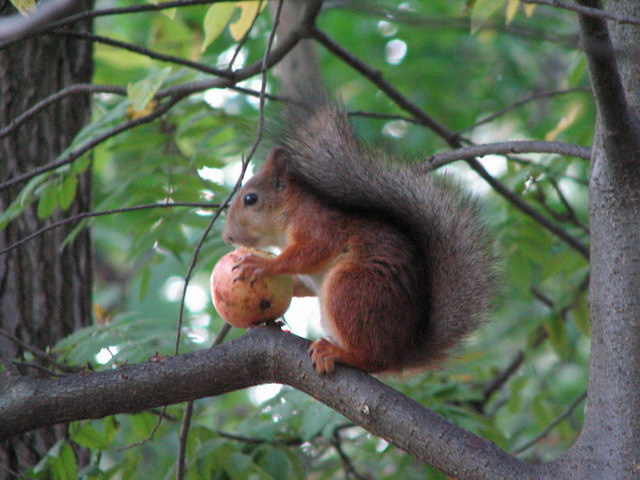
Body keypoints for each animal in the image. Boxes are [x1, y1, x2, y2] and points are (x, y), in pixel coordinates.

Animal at [223, 105, 496, 375]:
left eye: (250, 199)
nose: (227, 237)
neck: (288, 213)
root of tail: (401, 353)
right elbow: (301, 283)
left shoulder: (319, 225)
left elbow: (312, 251)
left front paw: (261, 265)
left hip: (352, 289)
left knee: (372, 359)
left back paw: (338, 353)